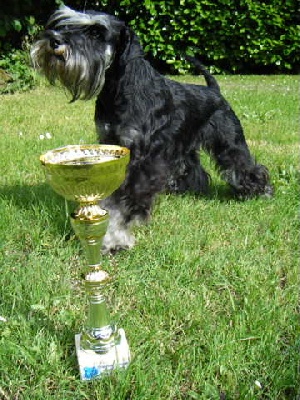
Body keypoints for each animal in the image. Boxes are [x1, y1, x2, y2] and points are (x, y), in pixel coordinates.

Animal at [31, 6, 274, 252]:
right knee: (192, 168)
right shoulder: (112, 144)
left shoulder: (142, 158)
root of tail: (215, 91)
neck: (117, 88)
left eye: (96, 33)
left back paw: (261, 192)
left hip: (229, 141)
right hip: (185, 144)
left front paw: (115, 237)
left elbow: (126, 200)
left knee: (244, 165)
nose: (54, 40)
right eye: (66, 24)